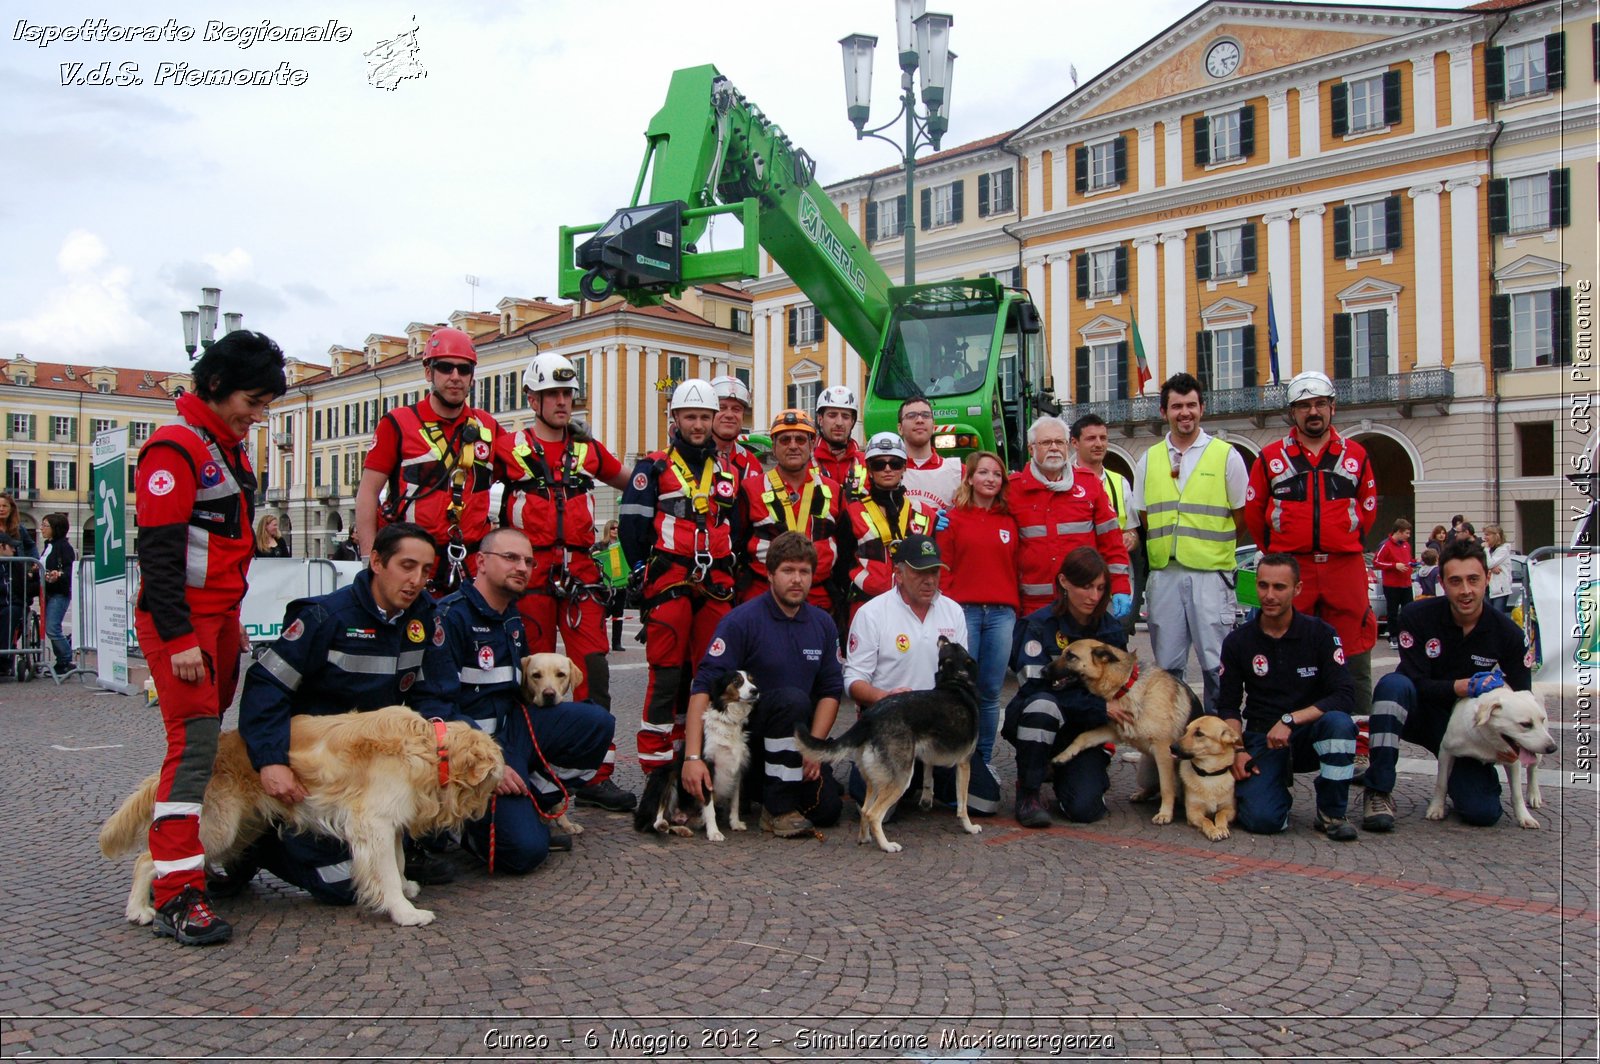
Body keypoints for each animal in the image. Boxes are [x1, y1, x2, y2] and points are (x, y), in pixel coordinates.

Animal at [1433, 688, 1555, 832]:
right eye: (1525, 724)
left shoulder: (1514, 761)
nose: (1553, 748)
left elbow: (1517, 794)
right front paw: (1436, 808)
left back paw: (1533, 795)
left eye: (1541, 720)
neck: (1489, 740)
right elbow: (1441, 783)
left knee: (1533, 770)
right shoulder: (1446, 751)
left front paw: (1525, 817)